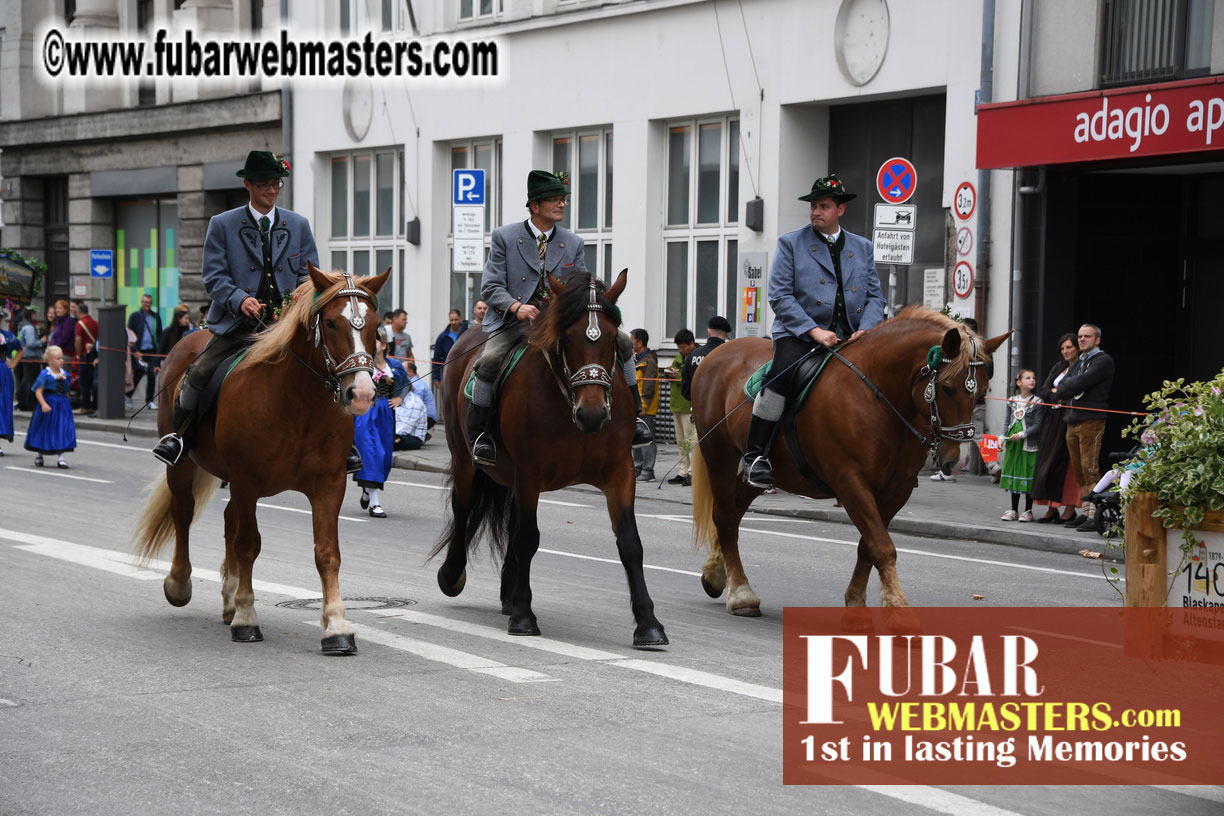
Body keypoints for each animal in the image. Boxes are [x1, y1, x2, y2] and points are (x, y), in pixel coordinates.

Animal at [131, 263, 386, 655]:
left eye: (375, 326)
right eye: (330, 324)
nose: (361, 393)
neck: (298, 403)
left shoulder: (329, 484)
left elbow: (327, 553)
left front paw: (336, 627)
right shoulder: (247, 481)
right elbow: (248, 545)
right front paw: (247, 618)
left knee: (227, 521)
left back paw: (229, 599)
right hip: (187, 467)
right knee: (184, 512)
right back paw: (180, 584)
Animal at [435, 271, 670, 645]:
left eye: (611, 339)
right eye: (569, 337)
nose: (593, 413)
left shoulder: (620, 473)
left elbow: (630, 543)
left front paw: (648, 623)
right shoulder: (529, 473)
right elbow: (527, 539)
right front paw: (524, 617)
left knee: (511, 522)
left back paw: (509, 593)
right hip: (465, 460)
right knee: (464, 508)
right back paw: (453, 575)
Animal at [690, 305, 1003, 619]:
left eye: (982, 391)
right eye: (947, 387)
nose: (959, 462)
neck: (881, 398)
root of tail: (719, 352)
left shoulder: (896, 491)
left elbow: (869, 546)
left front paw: (856, 602)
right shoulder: (852, 484)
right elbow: (882, 546)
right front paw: (898, 609)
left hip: (767, 472)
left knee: (733, 512)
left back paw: (716, 574)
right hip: (719, 456)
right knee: (725, 516)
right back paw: (741, 593)